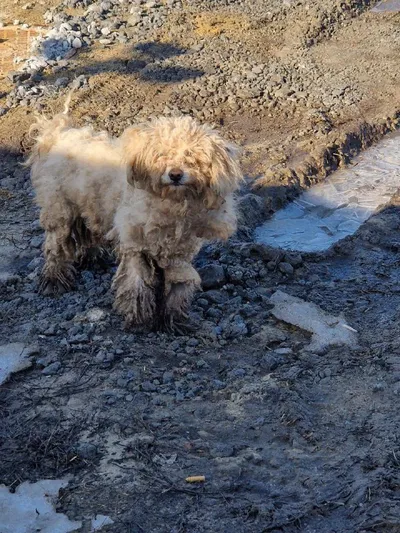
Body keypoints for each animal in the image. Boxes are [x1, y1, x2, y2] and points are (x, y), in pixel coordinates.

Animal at [27, 98, 243, 329]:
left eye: (192, 157)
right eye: (162, 155)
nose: (175, 174)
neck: (171, 204)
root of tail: (58, 134)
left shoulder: (179, 252)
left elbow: (178, 283)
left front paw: (173, 318)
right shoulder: (135, 244)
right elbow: (137, 281)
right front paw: (138, 317)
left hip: (89, 204)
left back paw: (93, 257)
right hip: (59, 209)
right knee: (55, 246)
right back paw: (53, 279)